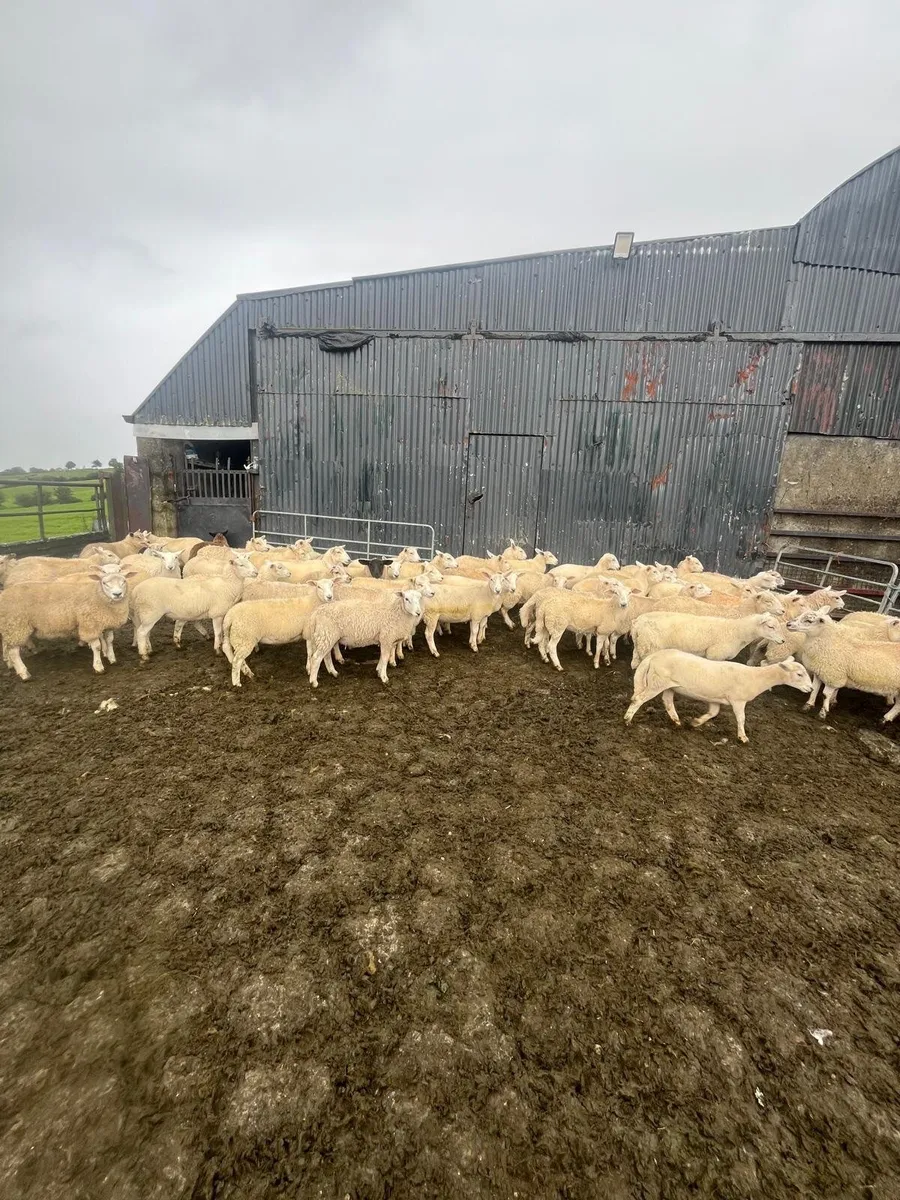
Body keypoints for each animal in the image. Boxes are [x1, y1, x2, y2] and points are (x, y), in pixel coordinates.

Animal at [0, 570, 130, 680]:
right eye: (104, 583)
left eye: (124, 581)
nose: (117, 594)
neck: (98, 595)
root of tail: (3, 594)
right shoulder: (89, 625)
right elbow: (97, 647)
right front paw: (99, 667)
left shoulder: (107, 624)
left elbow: (109, 641)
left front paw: (112, 659)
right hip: (15, 626)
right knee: (14, 652)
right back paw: (24, 673)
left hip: (9, 627)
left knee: (6, 646)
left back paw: (11, 664)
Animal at [623, 651, 813, 743]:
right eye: (799, 674)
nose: (810, 688)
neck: (755, 677)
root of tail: (652, 657)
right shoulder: (738, 700)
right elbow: (741, 719)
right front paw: (743, 738)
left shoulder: (714, 700)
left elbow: (713, 713)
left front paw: (695, 723)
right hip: (658, 682)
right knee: (638, 699)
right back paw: (627, 720)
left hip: (670, 685)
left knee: (668, 701)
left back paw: (677, 722)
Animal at [631, 610, 784, 668]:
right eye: (770, 626)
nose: (783, 641)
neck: (736, 631)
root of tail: (638, 622)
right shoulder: (714, 655)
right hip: (650, 646)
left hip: (641, 645)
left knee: (634, 663)